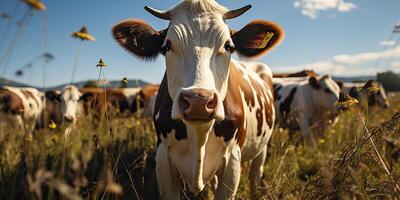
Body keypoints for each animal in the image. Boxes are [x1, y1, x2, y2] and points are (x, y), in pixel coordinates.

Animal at [111, 0, 282, 199]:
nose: (198, 101)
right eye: (167, 46)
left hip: (262, 147)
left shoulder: (232, 162)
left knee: (255, 174)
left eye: (228, 46)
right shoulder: (163, 159)